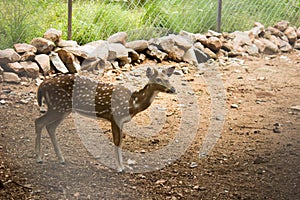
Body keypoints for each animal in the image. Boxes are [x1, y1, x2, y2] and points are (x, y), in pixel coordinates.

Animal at [35, 66, 176, 173]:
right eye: (158, 79)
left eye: (168, 78)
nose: (173, 89)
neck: (132, 104)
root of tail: (42, 84)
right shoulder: (115, 117)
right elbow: (117, 142)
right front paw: (119, 168)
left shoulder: (121, 122)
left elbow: (120, 142)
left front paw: (122, 167)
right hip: (57, 106)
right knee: (39, 121)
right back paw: (39, 158)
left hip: (63, 109)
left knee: (50, 126)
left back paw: (61, 159)